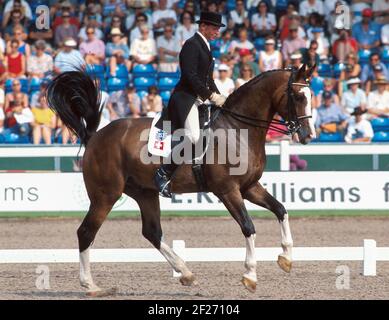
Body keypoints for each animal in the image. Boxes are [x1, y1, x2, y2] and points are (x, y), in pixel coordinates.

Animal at [45, 63, 316, 296]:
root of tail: (96, 136)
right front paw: (250, 276)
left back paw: (185, 273)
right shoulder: (228, 190)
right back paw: (91, 286)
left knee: (152, 232)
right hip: (105, 195)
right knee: (86, 232)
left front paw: (286, 258)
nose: (308, 136)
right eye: (298, 97)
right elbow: (248, 227)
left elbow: (281, 209)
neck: (237, 129)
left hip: (144, 193)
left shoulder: (249, 187)